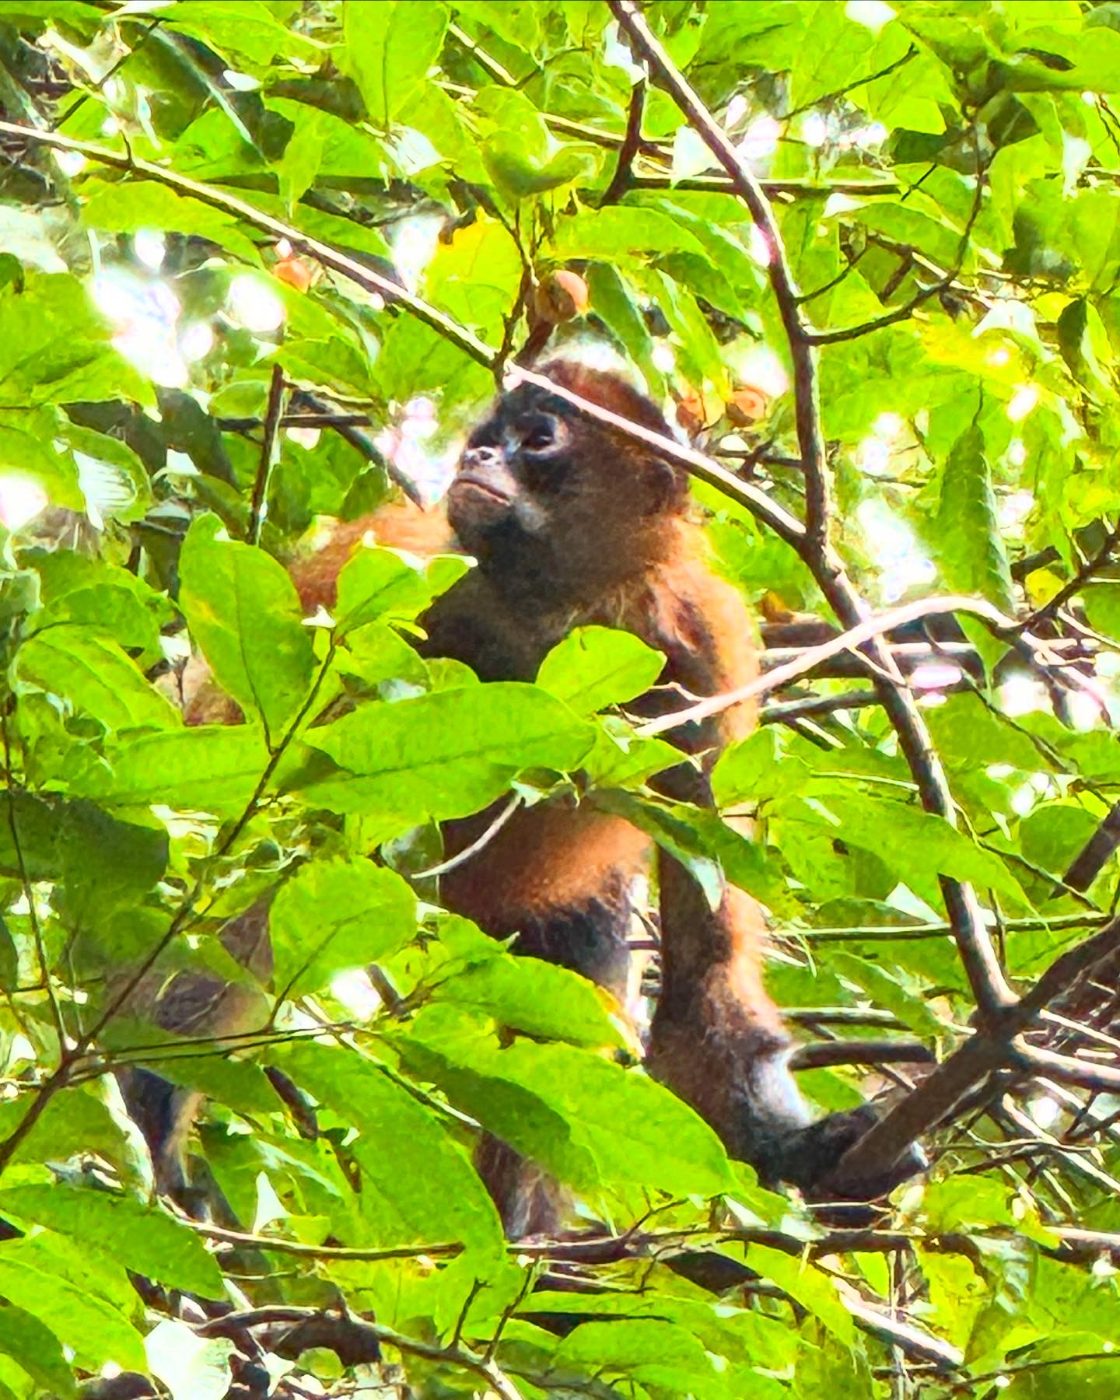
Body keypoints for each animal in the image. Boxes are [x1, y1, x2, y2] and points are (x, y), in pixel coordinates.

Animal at [132, 360, 922, 1228]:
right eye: (485, 441)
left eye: (537, 441)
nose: (478, 460)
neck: (561, 615)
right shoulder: (413, 575)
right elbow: (282, 819)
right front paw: (158, 1096)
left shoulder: (701, 654)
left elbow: (704, 959)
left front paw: (787, 1143)